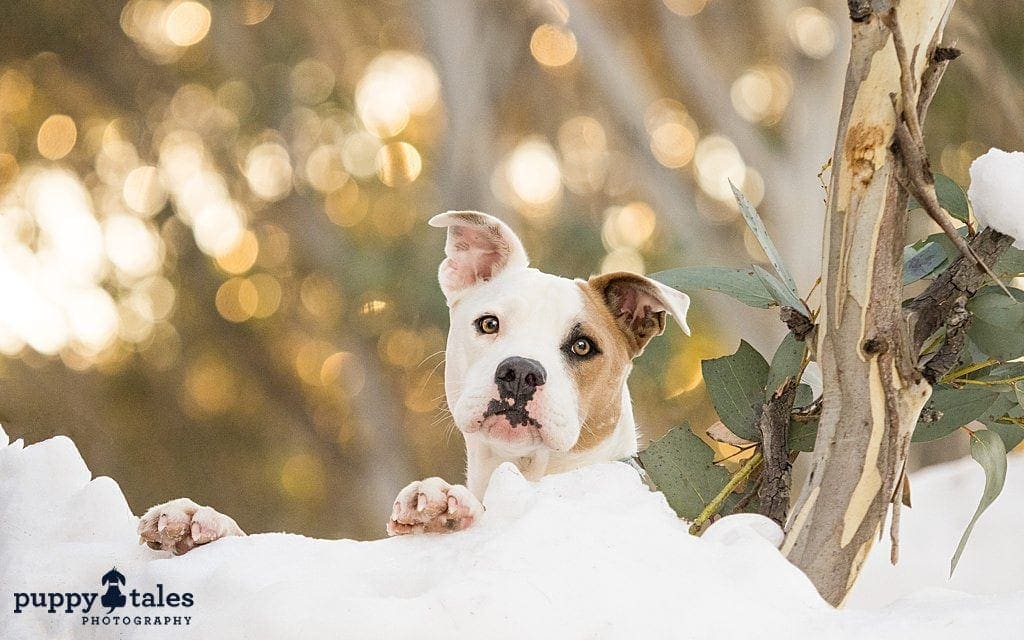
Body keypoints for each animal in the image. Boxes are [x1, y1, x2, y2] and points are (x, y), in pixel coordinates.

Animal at [136, 209, 688, 548]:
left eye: (582, 347)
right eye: (489, 324)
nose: (520, 372)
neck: (523, 474)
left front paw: (441, 507)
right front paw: (196, 523)